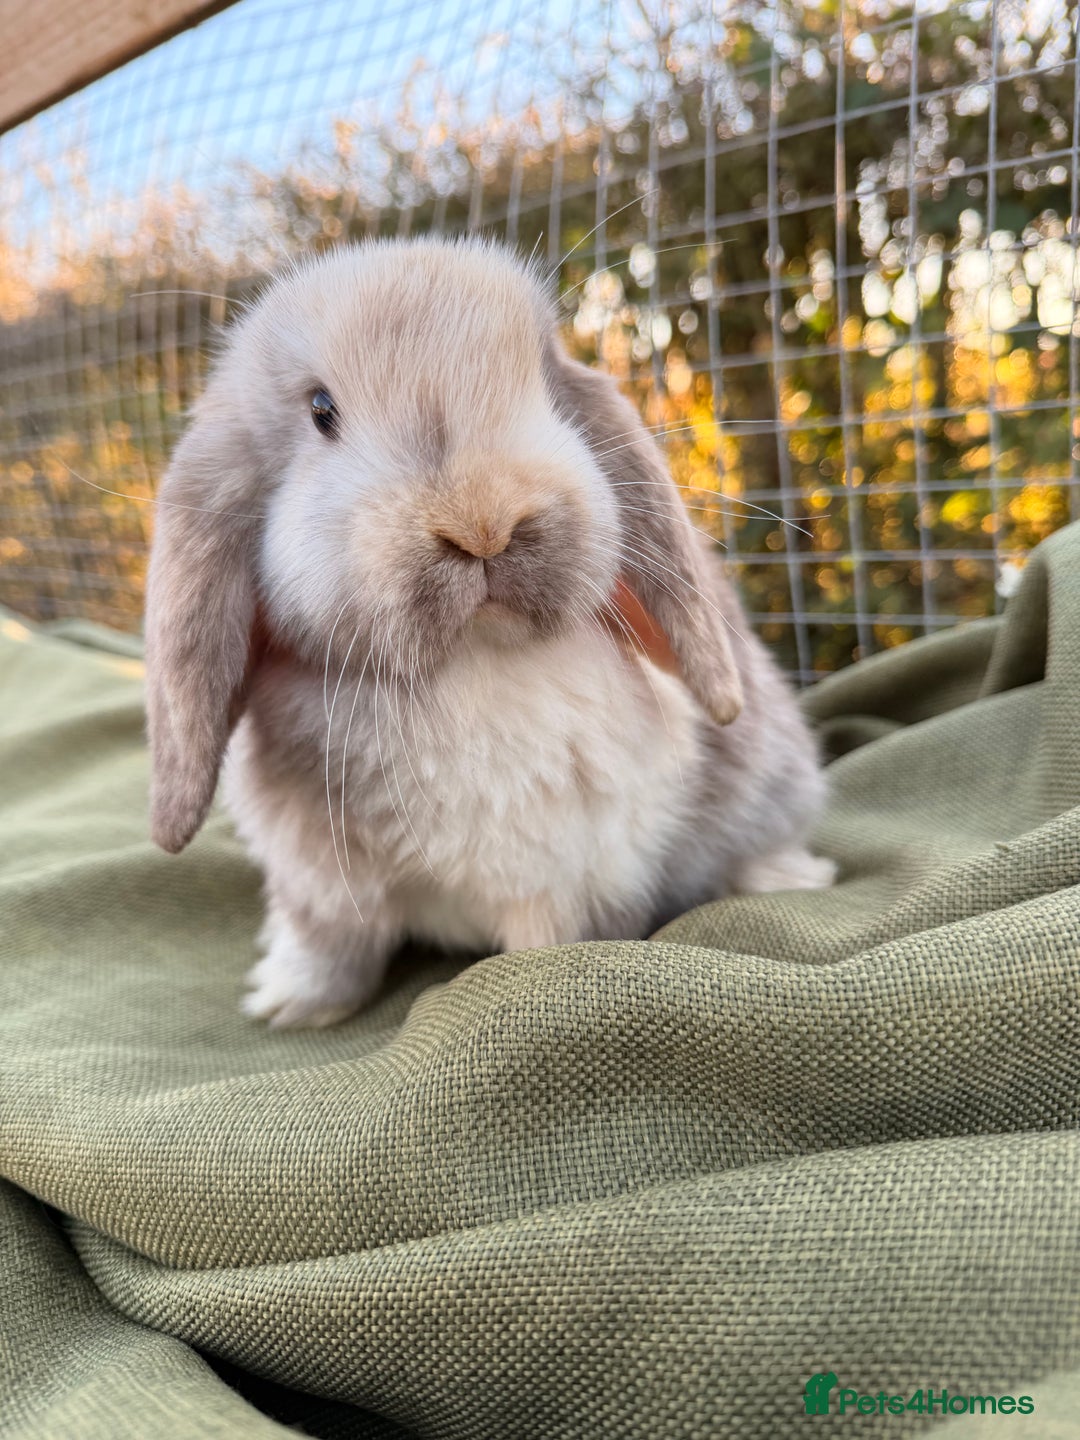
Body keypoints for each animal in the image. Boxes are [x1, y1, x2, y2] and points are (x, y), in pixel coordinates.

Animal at [145, 236, 834, 1027]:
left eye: (546, 385)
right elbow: (331, 948)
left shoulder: (571, 874)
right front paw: (290, 1004)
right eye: (321, 411)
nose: (483, 524)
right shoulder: (320, 883)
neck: (468, 664)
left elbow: (543, 950)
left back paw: (790, 877)